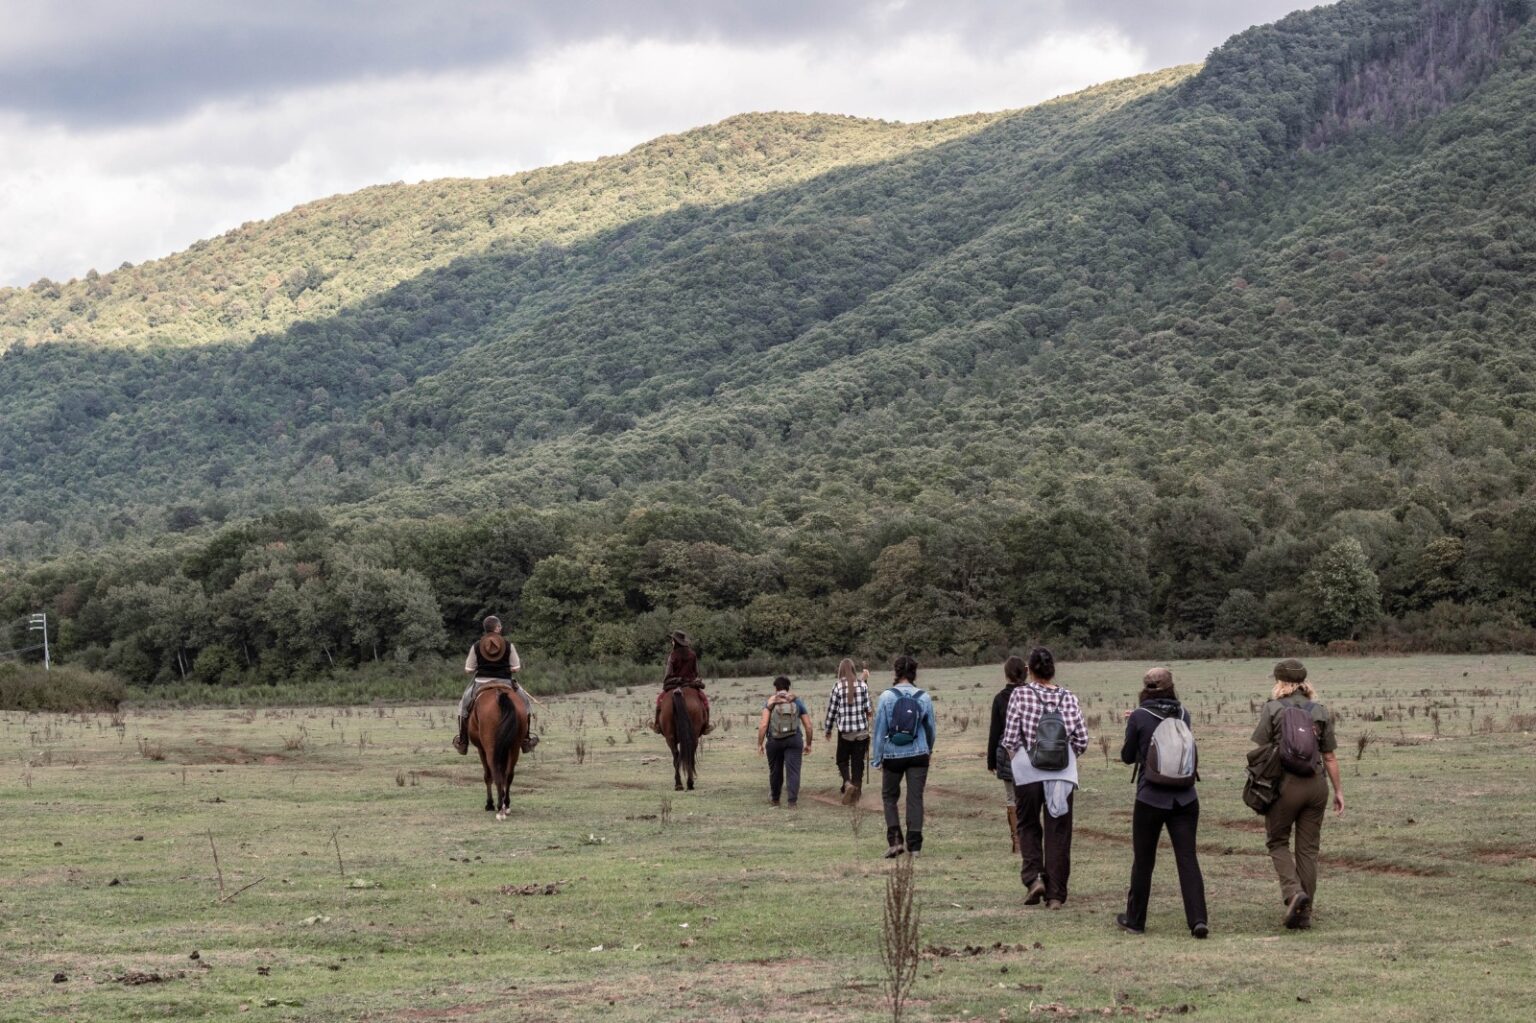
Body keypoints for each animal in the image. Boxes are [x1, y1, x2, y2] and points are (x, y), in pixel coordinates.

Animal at [466, 682, 528, 817]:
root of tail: (500, 695)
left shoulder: (481, 749)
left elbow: (488, 776)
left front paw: (489, 804)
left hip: (490, 749)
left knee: (495, 773)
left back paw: (499, 807)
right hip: (514, 748)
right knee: (508, 775)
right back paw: (506, 804)